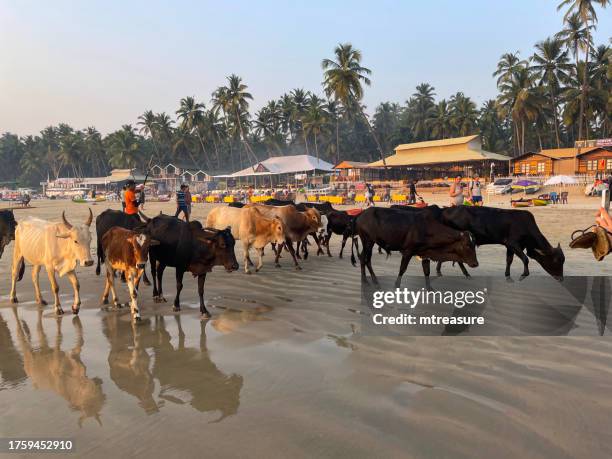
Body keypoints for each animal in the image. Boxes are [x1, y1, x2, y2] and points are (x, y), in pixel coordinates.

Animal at [350, 208, 478, 288]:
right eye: (467, 245)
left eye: (474, 244)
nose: (476, 264)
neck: (426, 228)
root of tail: (360, 214)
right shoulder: (408, 251)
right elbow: (402, 269)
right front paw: (397, 285)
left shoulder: (425, 253)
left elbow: (426, 271)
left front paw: (429, 289)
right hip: (367, 240)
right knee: (364, 258)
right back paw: (368, 281)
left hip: (369, 242)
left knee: (365, 258)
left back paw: (370, 280)